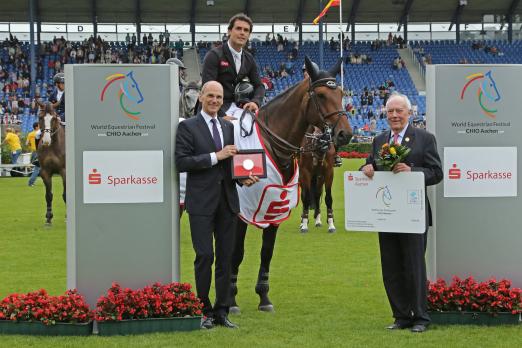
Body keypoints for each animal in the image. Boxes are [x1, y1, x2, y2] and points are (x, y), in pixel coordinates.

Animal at [230, 56, 352, 312]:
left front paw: (264, 297)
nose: (345, 134)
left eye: (341, 93)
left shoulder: (275, 205)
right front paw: (231, 299)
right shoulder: (240, 212)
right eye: (321, 95)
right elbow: (236, 252)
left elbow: (267, 252)